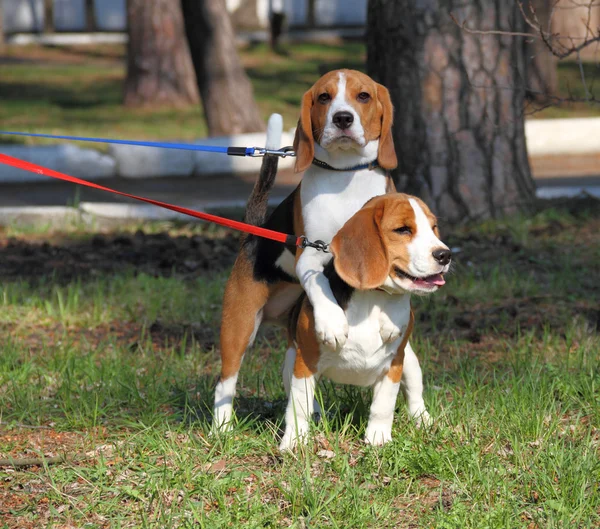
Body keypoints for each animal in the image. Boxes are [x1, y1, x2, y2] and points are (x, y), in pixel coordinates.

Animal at [216, 70, 432, 432]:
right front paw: (332, 324)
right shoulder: (311, 253)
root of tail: (253, 234)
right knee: (226, 382)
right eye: (323, 97)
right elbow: (319, 284)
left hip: (407, 358)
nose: (342, 118)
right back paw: (222, 430)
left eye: (363, 96)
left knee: (411, 381)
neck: (345, 178)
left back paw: (422, 419)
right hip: (240, 326)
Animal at [282, 194, 450, 450]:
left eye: (433, 228)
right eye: (403, 229)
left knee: (415, 396)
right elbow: (299, 407)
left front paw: (377, 439)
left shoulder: (394, 366)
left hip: (411, 363)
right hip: (289, 366)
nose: (445, 255)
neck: (374, 298)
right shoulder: (305, 363)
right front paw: (293, 442)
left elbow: (383, 406)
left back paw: (424, 421)